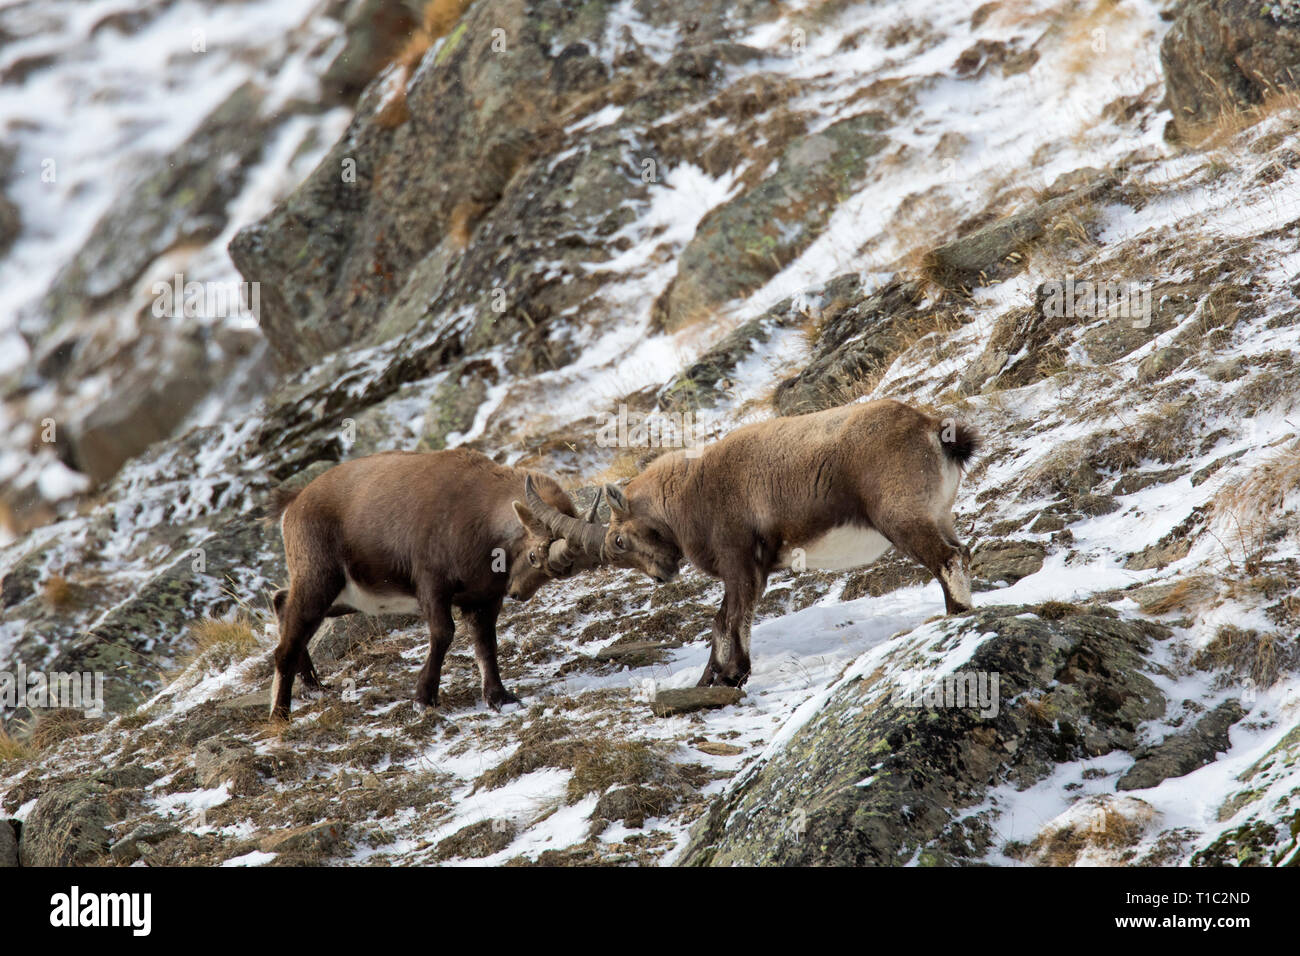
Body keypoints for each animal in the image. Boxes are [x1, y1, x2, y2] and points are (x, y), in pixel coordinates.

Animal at [268, 449, 592, 720]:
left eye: (557, 573)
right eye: (534, 555)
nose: (518, 592)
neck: (480, 514)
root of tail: (294, 505)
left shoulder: (483, 598)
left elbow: (486, 643)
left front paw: (499, 697)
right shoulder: (432, 585)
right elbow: (444, 633)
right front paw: (424, 698)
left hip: (344, 596)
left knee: (283, 603)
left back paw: (314, 686)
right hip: (319, 579)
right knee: (285, 643)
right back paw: (280, 715)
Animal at [524, 399, 979, 688]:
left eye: (618, 540)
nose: (662, 575)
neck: (687, 493)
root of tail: (931, 430)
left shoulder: (741, 561)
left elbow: (732, 617)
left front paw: (732, 675)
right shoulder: (748, 568)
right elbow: (720, 621)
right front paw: (713, 678)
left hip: (900, 517)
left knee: (946, 558)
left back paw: (955, 615)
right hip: (939, 514)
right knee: (961, 551)